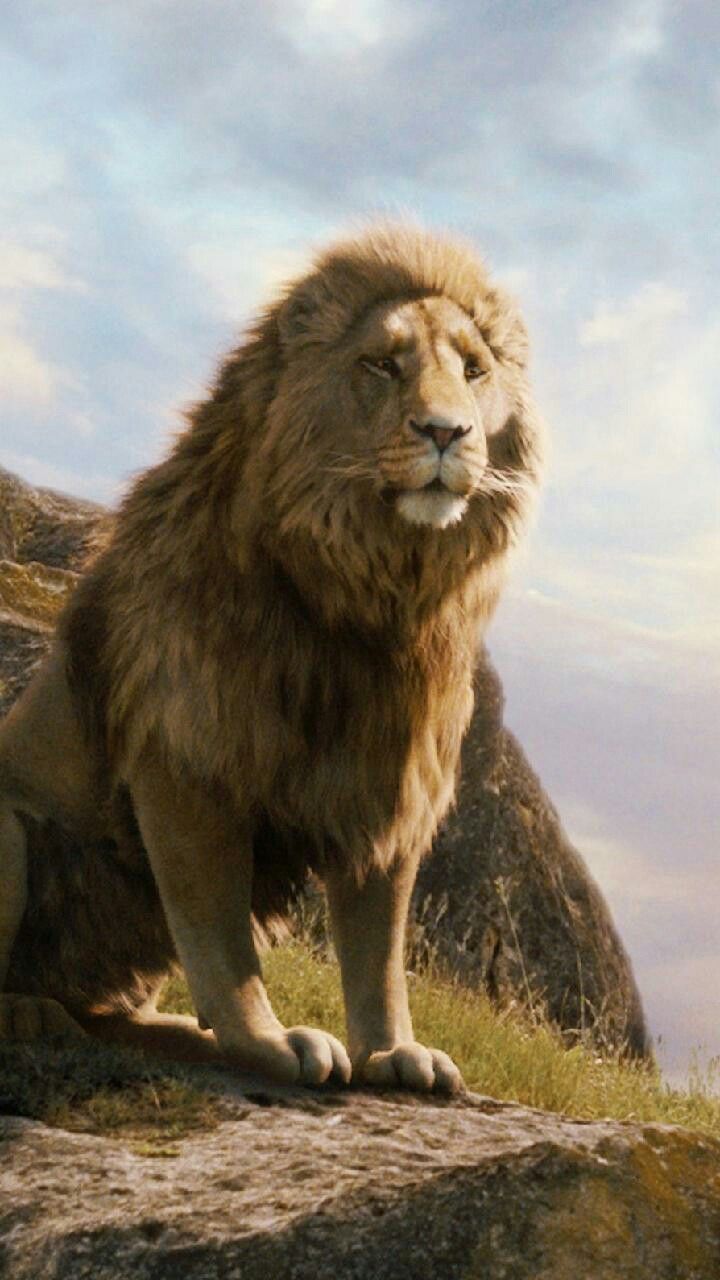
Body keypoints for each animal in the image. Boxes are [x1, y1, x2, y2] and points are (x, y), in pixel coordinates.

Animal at [0, 224, 543, 1091]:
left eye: (472, 369)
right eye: (382, 364)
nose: (446, 432)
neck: (369, 591)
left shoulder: (387, 779)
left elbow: (379, 951)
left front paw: (394, 1053)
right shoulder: (187, 759)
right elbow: (219, 934)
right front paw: (267, 1041)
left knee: (110, 1011)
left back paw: (167, 1029)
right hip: (11, 834)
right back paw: (29, 1013)